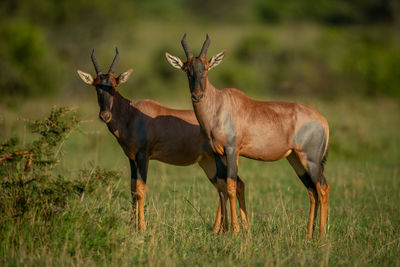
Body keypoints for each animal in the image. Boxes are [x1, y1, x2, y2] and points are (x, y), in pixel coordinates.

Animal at [77, 49, 248, 233]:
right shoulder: (131, 158)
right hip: (207, 162)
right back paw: (218, 229)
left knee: (232, 185)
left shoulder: (143, 156)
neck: (133, 113)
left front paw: (142, 227)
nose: (105, 116)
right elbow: (132, 189)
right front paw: (133, 226)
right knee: (224, 186)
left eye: (114, 86)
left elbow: (140, 189)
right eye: (96, 86)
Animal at [166, 34, 332, 238]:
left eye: (205, 68)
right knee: (312, 190)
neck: (220, 104)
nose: (197, 96)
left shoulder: (232, 150)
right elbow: (222, 186)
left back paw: (322, 234)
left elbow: (231, 186)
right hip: (296, 159)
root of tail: (322, 120)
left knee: (323, 188)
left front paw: (235, 230)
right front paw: (225, 229)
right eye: (186, 69)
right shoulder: (217, 153)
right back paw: (308, 234)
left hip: (311, 160)